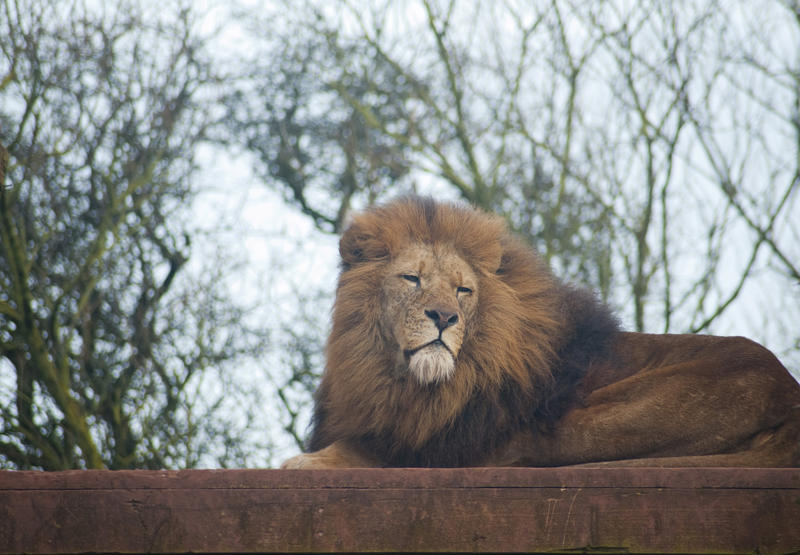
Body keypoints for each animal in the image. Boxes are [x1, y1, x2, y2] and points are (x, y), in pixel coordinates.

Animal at [282, 195, 800, 470]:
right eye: (412, 279)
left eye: (463, 290)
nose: (444, 317)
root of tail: (788, 394)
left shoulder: (444, 444)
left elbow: (364, 449)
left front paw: (305, 460)